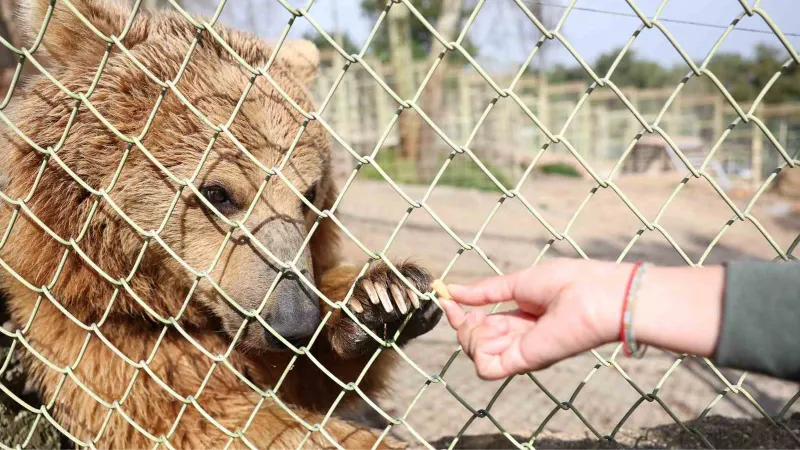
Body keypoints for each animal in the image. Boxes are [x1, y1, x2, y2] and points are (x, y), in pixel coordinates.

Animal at [0, 0, 438, 450]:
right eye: (218, 193)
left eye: (309, 195)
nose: (294, 324)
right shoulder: (96, 334)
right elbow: (206, 417)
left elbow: (307, 376)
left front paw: (385, 297)